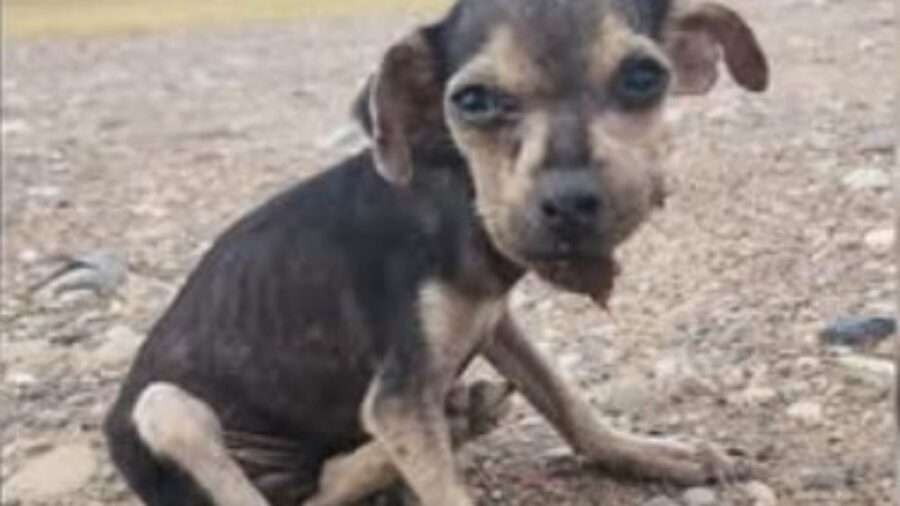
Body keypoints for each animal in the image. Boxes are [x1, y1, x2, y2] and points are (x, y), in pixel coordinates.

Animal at [103, 0, 768, 506]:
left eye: (644, 77)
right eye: (471, 101)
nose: (571, 204)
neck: (460, 198)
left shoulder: (495, 322)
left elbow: (569, 403)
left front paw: (646, 453)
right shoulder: (398, 397)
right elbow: (445, 485)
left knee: (324, 485)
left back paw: (455, 419)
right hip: (166, 409)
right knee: (289, 495)